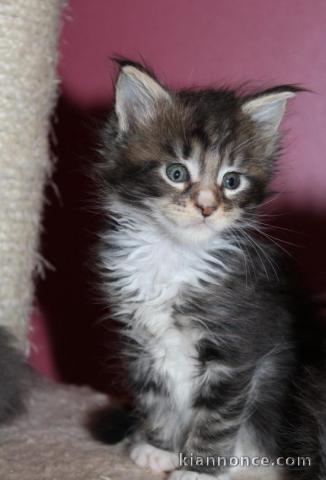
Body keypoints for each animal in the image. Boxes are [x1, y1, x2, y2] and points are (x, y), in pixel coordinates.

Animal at [97, 61, 326, 480]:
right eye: (176, 173)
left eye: (231, 181)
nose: (206, 207)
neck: (173, 255)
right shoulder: (141, 343)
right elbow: (156, 398)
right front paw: (158, 448)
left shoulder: (237, 349)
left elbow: (217, 419)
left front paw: (198, 469)